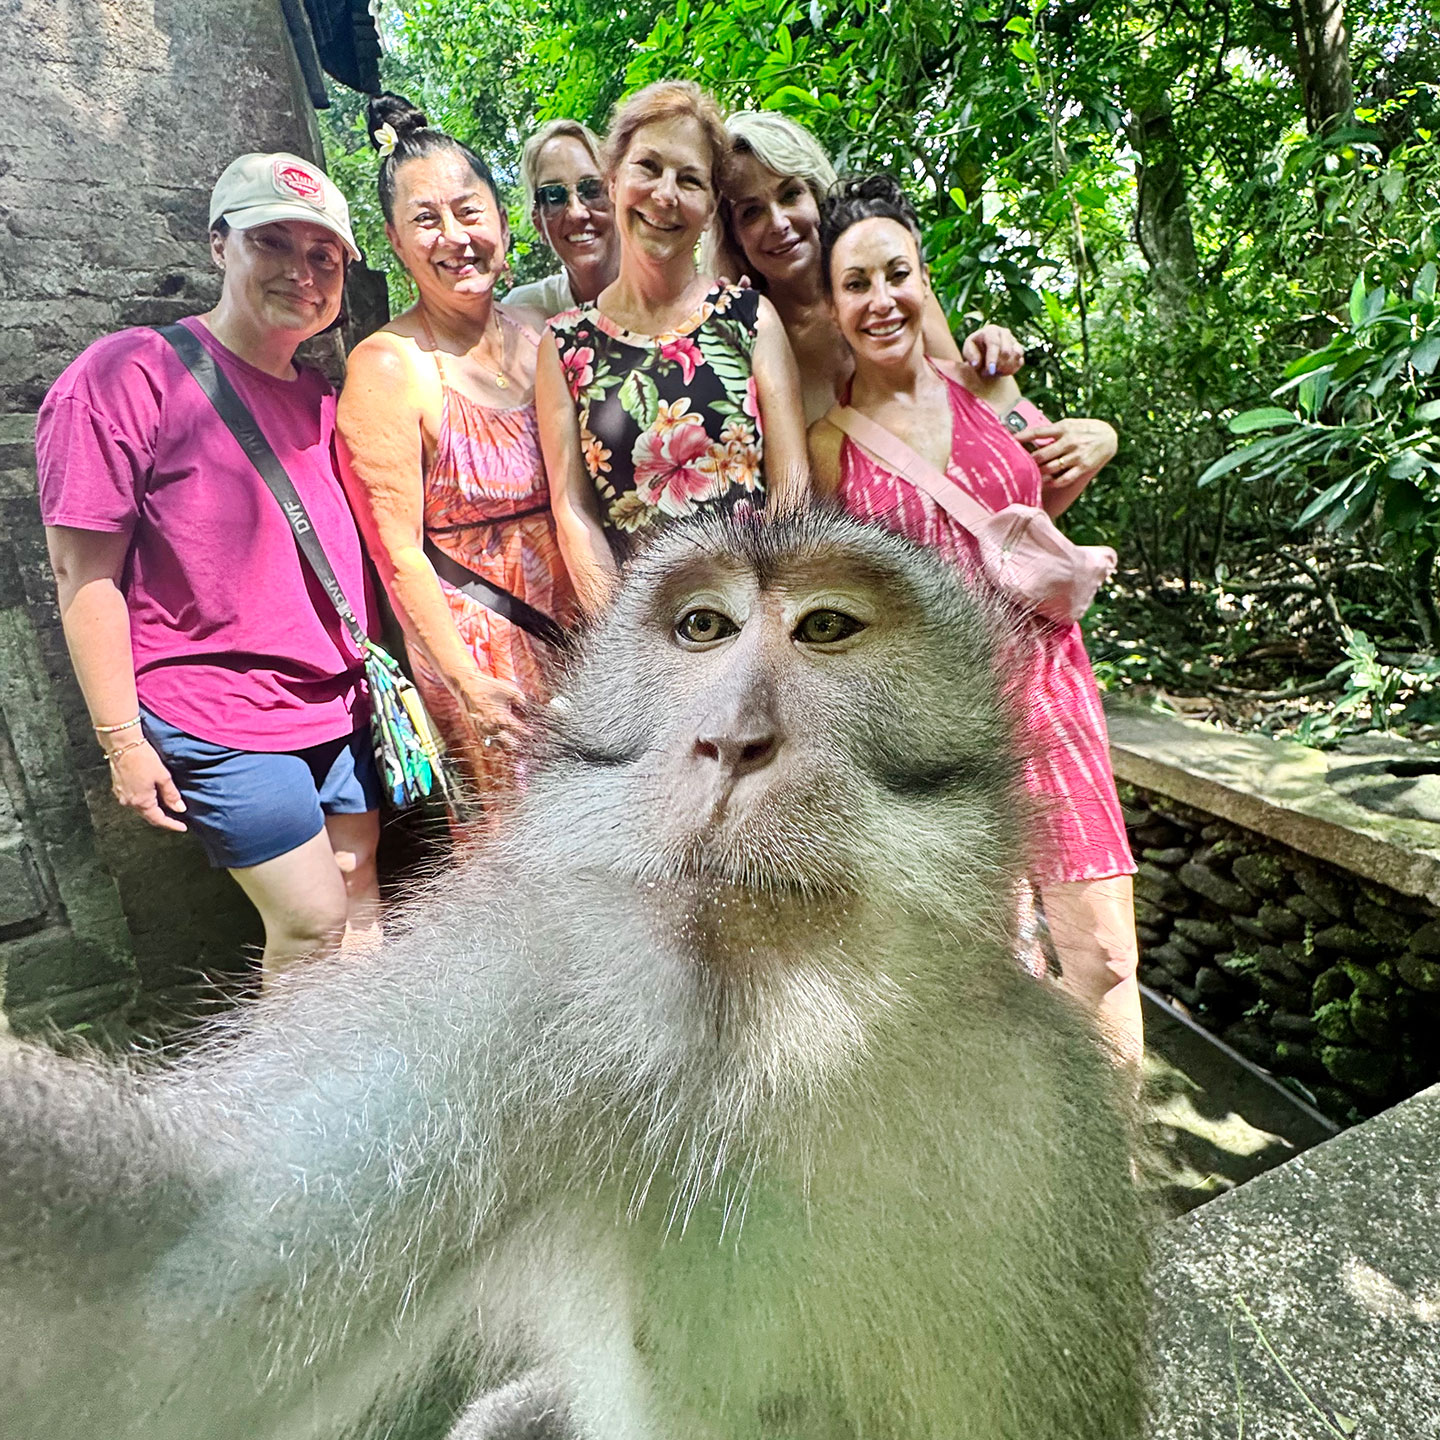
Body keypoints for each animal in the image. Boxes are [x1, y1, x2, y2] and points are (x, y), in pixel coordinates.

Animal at [0, 509, 1147, 1440]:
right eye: (703, 630)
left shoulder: (1050, 1115)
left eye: (827, 628)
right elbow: (156, 1297)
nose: (730, 740)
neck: (779, 1031)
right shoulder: (528, 983)